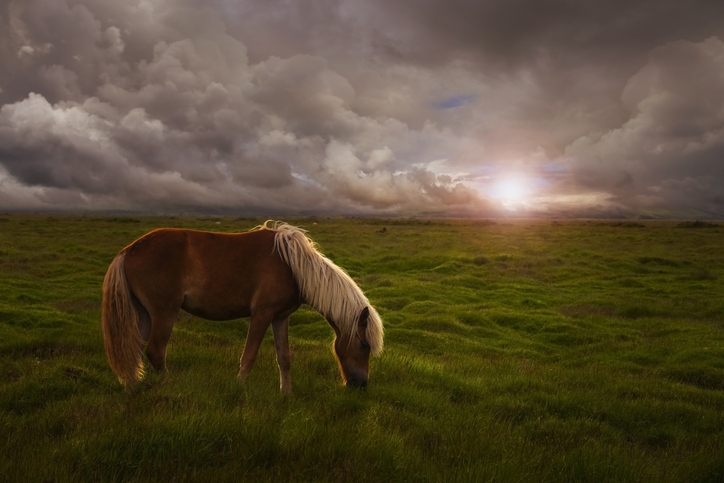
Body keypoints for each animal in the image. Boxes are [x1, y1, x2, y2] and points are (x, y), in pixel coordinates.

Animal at [103, 221, 384, 396]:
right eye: (364, 345)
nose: (361, 385)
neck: (292, 266)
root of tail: (129, 250)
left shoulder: (280, 318)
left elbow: (284, 358)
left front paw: (287, 394)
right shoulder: (261, 315)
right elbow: (249, 356)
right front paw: (239, 388)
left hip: (144, 314)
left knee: (134, 350)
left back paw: (133, 388)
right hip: (164, 313)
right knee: (155, 351)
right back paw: (169, 388)